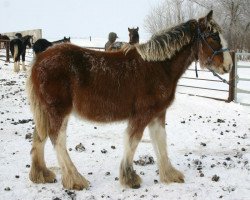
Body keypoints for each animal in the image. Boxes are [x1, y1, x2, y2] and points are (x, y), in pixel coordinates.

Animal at [27, 11, 232, 191]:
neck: (158, 67)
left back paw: (41, 174)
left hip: (47, 111)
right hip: (59, 111)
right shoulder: (142, 115)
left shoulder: (158, 114)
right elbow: (133, 141)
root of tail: (39, 60)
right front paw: (130, 178)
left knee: (39, 136)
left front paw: (170, 174)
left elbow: (161, 140)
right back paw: (75, 180)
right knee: (57, 139)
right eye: (214, 36)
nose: (228, 66)